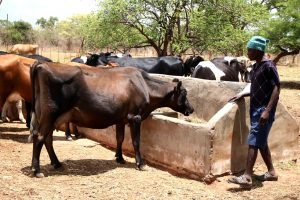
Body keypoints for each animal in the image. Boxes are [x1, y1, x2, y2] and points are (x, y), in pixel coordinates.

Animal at [29, 62, 195, 177]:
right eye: (184, 93)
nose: (192, 109)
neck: (145, 86)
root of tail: (42, 65)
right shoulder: (135, 117)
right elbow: (136, 141)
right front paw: (140, 164)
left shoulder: (121, 118)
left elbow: (119, 138)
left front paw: (119, 157)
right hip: (50, 114)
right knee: (39, 137)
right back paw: (37, 170)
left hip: (51, 117)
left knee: (47, 139)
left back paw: (56, 163)